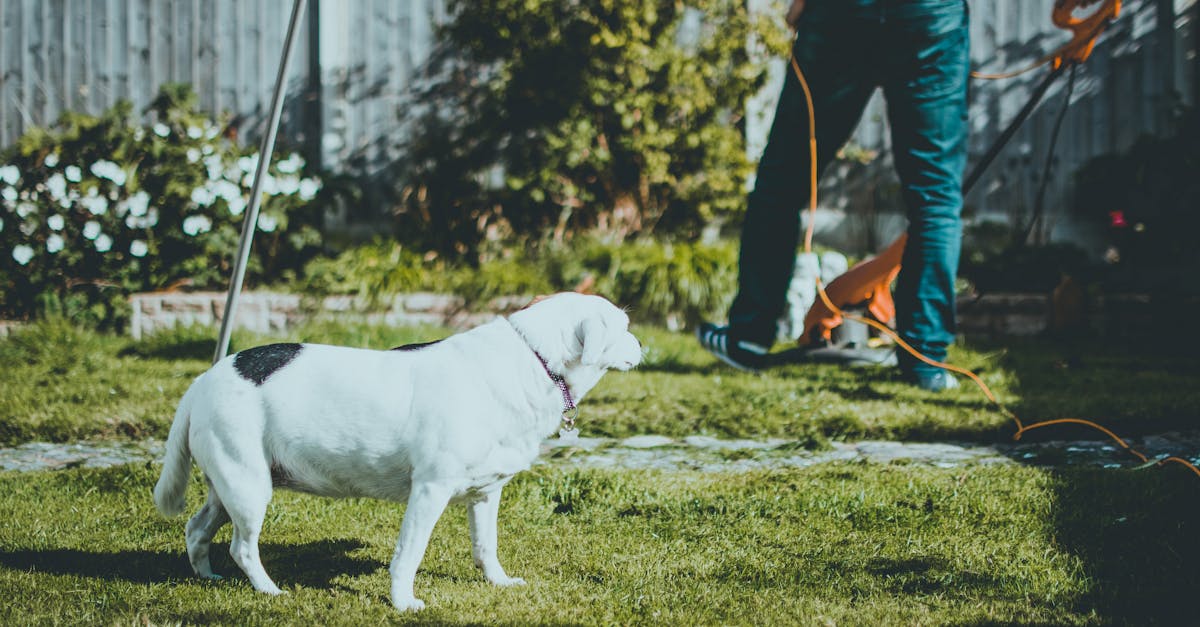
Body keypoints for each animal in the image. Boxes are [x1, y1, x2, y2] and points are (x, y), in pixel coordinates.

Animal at [154, 291, 643, 605]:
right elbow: (409, 554)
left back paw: (207, 576)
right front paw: (403, 602)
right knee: (242, 547)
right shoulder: (429, 489)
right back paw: (269, 590)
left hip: (231, 485)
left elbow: (486, 546)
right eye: (624, 326)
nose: (642, 345)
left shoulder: (487, 494)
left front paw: (498, 582)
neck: (532, 358)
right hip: (249, 486)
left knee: (197, 529)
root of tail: (202, 380)